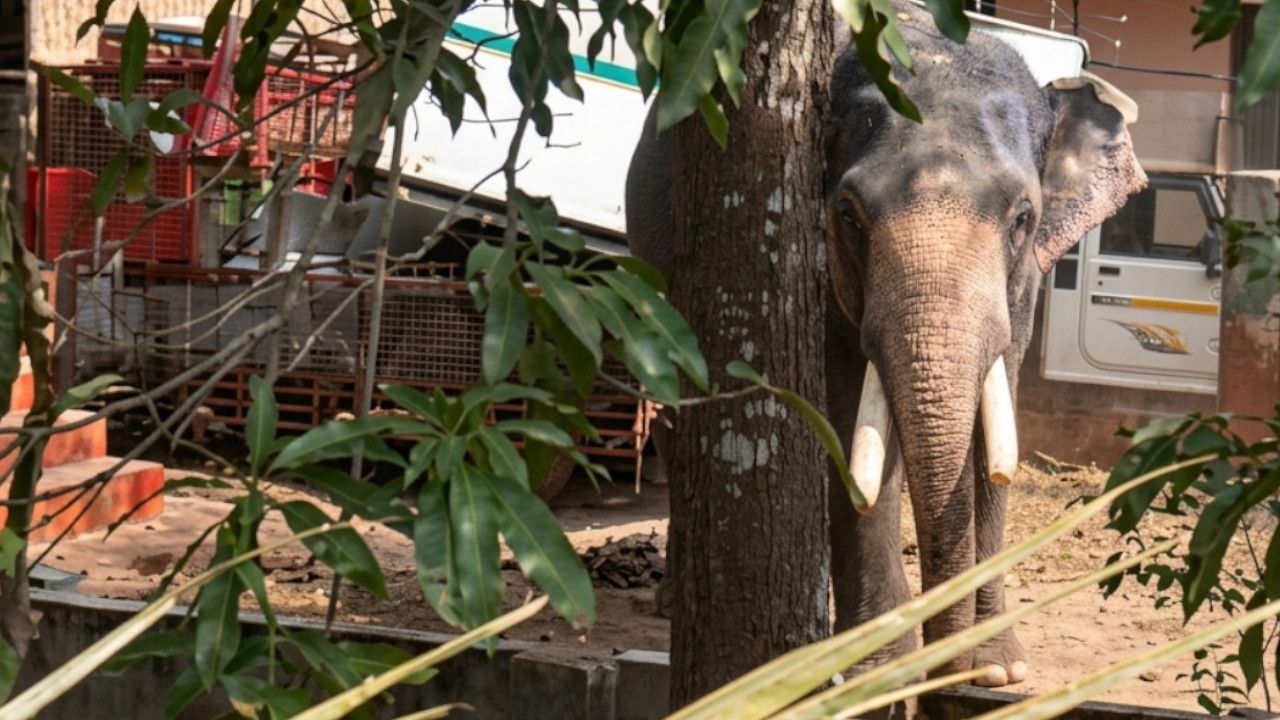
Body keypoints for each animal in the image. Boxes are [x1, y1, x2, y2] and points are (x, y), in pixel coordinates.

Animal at [624, 1, 1146, 688]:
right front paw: (879, 671)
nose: (945, 666)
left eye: (1023, 218)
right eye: (848, 214)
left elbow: (999, 404)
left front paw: (994, 670)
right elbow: (844, 413)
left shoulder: (1025, 282)